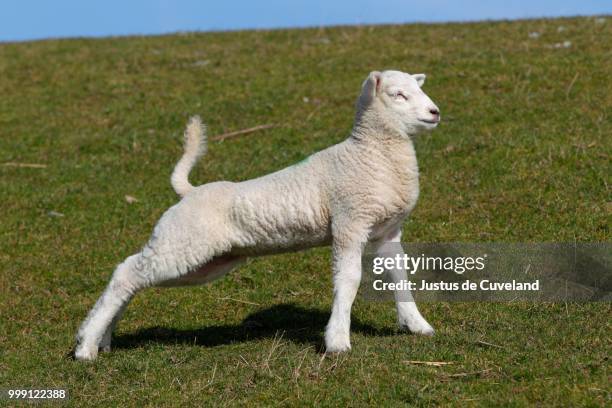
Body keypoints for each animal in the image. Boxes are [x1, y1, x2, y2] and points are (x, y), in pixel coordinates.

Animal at [75, 69, 440, 360]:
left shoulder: (387, 230)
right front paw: (337, 341)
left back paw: (101, 339)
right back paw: (86, 347)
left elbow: (400, 276)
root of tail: (189, 191)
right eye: (398, 94)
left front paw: (417, 325)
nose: (435, 112)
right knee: (125, 274)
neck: (371, 152)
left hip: (201, 260)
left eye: (418, 89)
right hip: (182, 242)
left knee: (132, 276)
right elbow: (348, 280)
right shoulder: (350, 222)